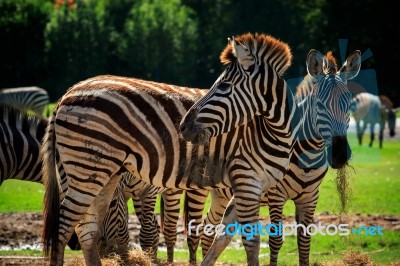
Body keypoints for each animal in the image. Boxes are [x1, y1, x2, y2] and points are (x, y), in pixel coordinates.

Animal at [42, 33, 302, 266]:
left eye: (225, 86)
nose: (183, 126)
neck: (271, 130)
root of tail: (67, 93)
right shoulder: (246, 179)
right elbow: (251, 242)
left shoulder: (252, 186)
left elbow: (222, 238)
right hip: (87, 168)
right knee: (64, 227)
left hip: (100, 173)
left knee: (87, 230)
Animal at [180, 47, 360, 266]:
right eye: (320, 105)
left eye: (349, 104)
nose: (340, 155)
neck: (307, 155)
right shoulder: (276, 195)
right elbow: (276, 239)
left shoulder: (310, 198)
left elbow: (304, 241)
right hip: (199, 189)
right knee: (196, 232)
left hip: (221, 195)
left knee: (211, 230)